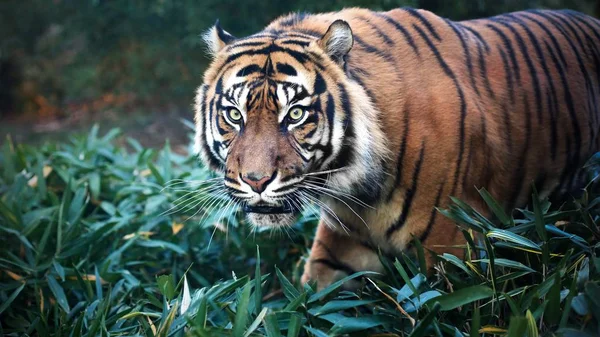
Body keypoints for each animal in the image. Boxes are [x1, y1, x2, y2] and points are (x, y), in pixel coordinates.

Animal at [196, 6, 600, 288]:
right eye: (234, 115)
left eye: (295, 114)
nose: (256, 181)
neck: (357, 190)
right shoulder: (342, 247)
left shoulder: (451, 249)